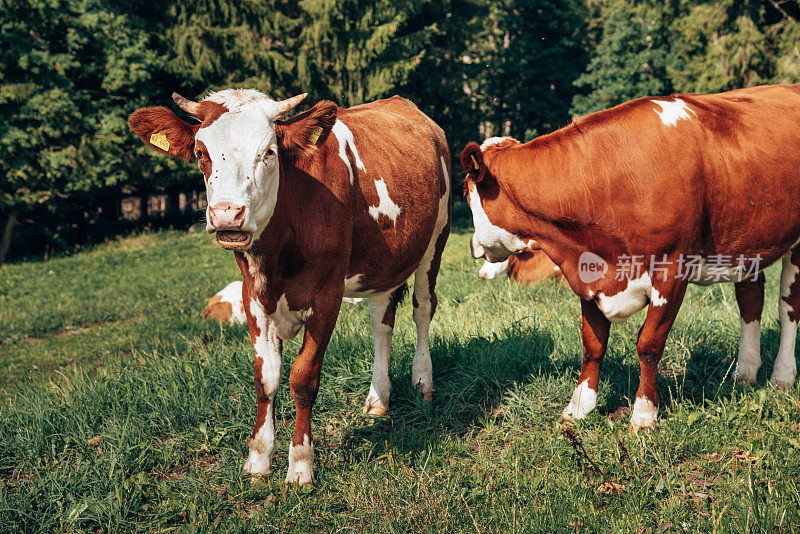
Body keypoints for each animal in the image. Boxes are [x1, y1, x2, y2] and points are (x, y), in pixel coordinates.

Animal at [131, 91, 450, 486]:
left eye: (269, 152)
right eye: (201, 152)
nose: (227, 214)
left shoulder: (328, 295)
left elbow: (303, 378)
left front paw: (300, 465)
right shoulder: (253, 296)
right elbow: (265, 378)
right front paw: (258, 459)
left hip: (435, 239)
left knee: (422, 309)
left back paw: (423, 382)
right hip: (383, 263)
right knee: (381, 322)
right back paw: (378, 399)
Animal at [462, 85, 800, 436]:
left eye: (465, 194)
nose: (472, 244)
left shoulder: (672, 273)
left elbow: (649, 345)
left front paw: (643, 415)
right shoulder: (587, 274)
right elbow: (592, 345)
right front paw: (578, 408)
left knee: (788, 309)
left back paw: (782, 376)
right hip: (747, 242)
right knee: (751, 302)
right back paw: (745, 373)